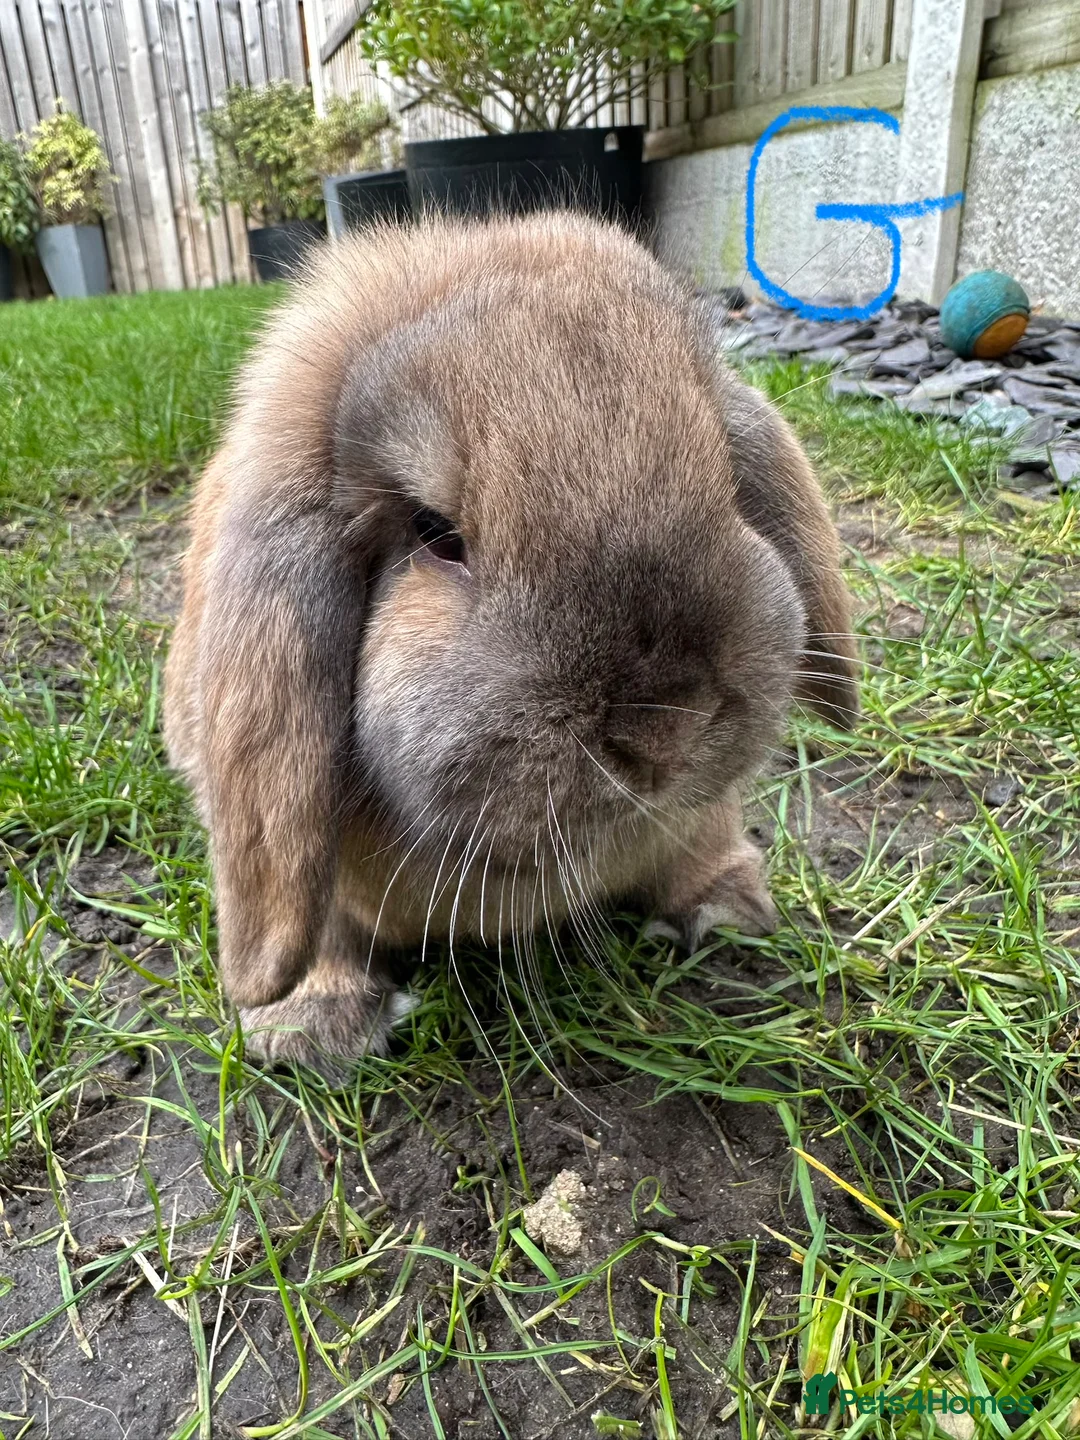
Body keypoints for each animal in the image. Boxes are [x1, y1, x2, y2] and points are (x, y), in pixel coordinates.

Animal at [164, 211, 858, 1065]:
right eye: (436, 533)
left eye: (725, 479)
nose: (667, 730)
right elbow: (316, 918)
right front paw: (312, 1029)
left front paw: (726, 910)